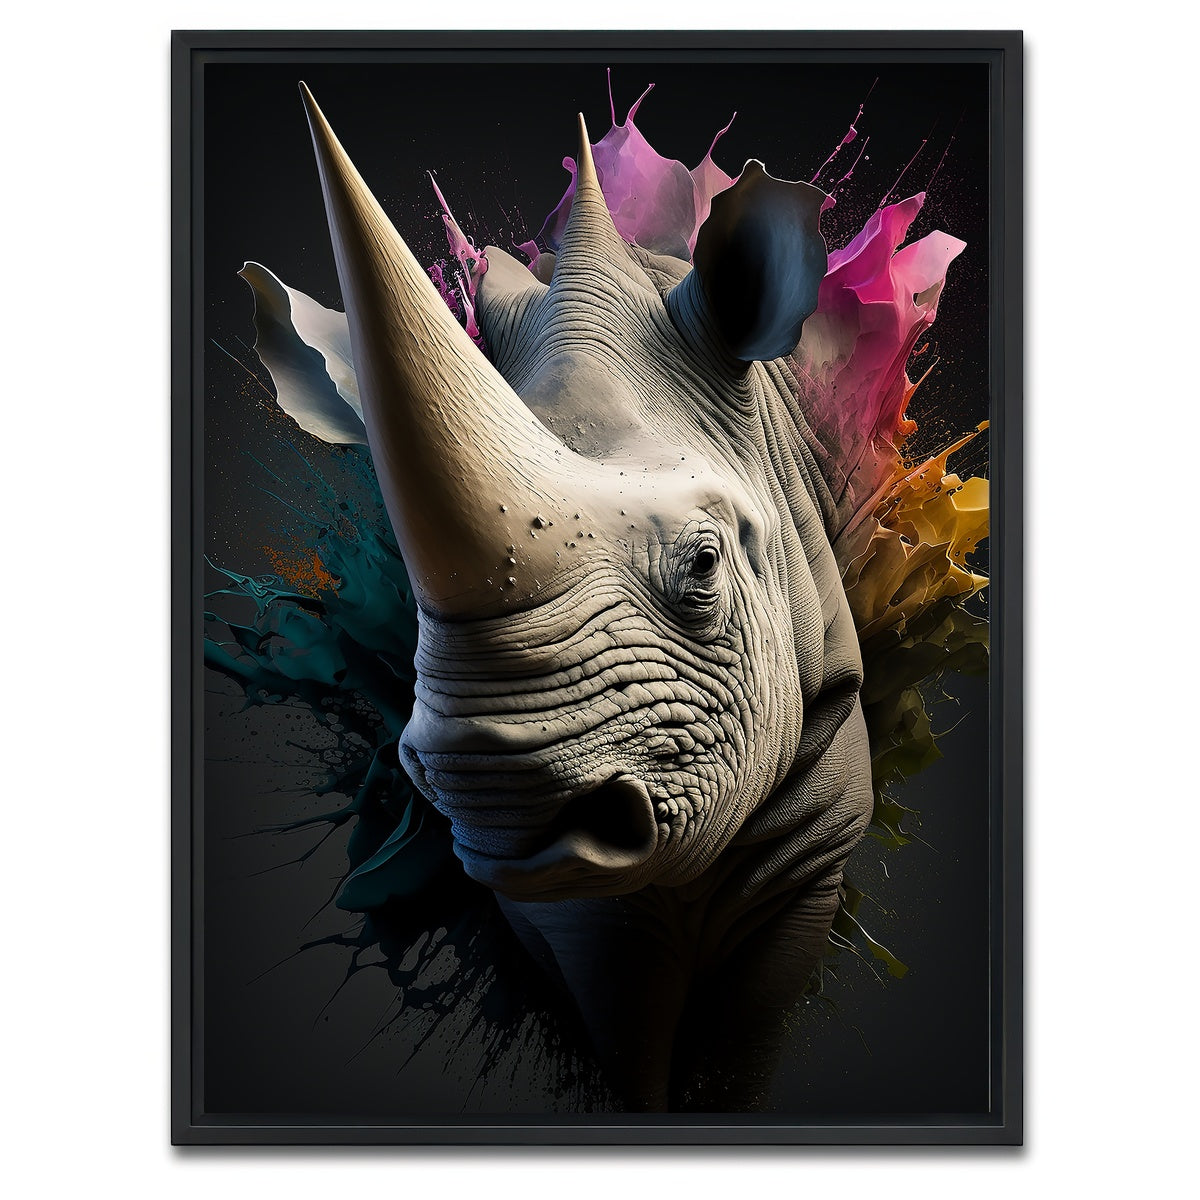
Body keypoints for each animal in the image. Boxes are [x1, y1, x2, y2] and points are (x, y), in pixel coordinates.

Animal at [297, 83, 875, 1112]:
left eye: (705, 566)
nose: (498, 792)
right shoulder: (568, 908)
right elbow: (622, 1020)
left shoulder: (816, 837)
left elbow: (746, 1038)